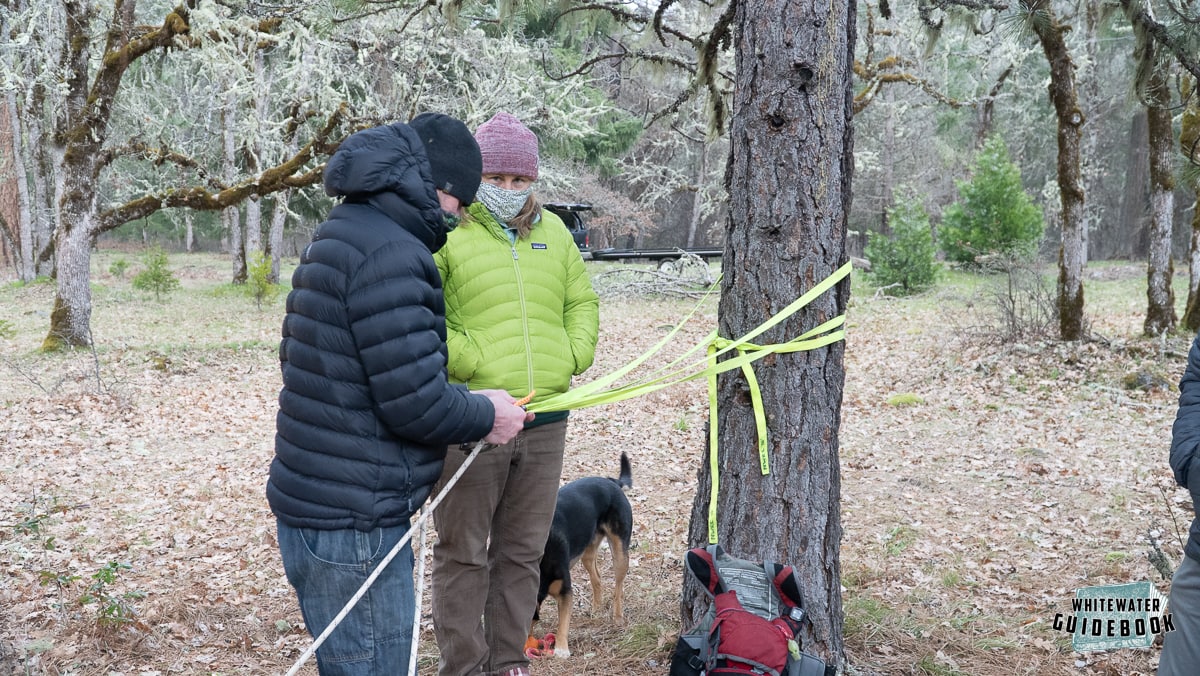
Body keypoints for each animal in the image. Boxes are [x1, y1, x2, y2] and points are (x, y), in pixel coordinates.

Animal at [530, 451, 633, 657]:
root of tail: (611, 482)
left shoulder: (565, 592)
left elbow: (563, 624)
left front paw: (562, 649)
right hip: (587, 553)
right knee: (597, 578)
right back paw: (596, 608)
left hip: (619, 552)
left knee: (618, 587)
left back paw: (617, 616)